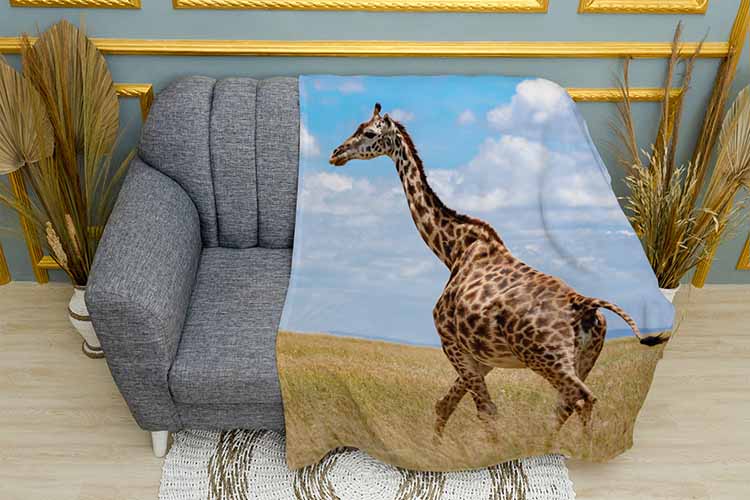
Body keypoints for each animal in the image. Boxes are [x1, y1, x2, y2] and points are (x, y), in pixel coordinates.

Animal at [328, 103, 665, 436]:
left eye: (369, 133)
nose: (336, 153)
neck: (452, 249)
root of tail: (583, 304)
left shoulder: (450, 342)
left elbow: (485, 411)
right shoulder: (481, 356)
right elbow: (445, 405)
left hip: (547, 359)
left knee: (582, 399)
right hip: (584, 357)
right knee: (566, 405)